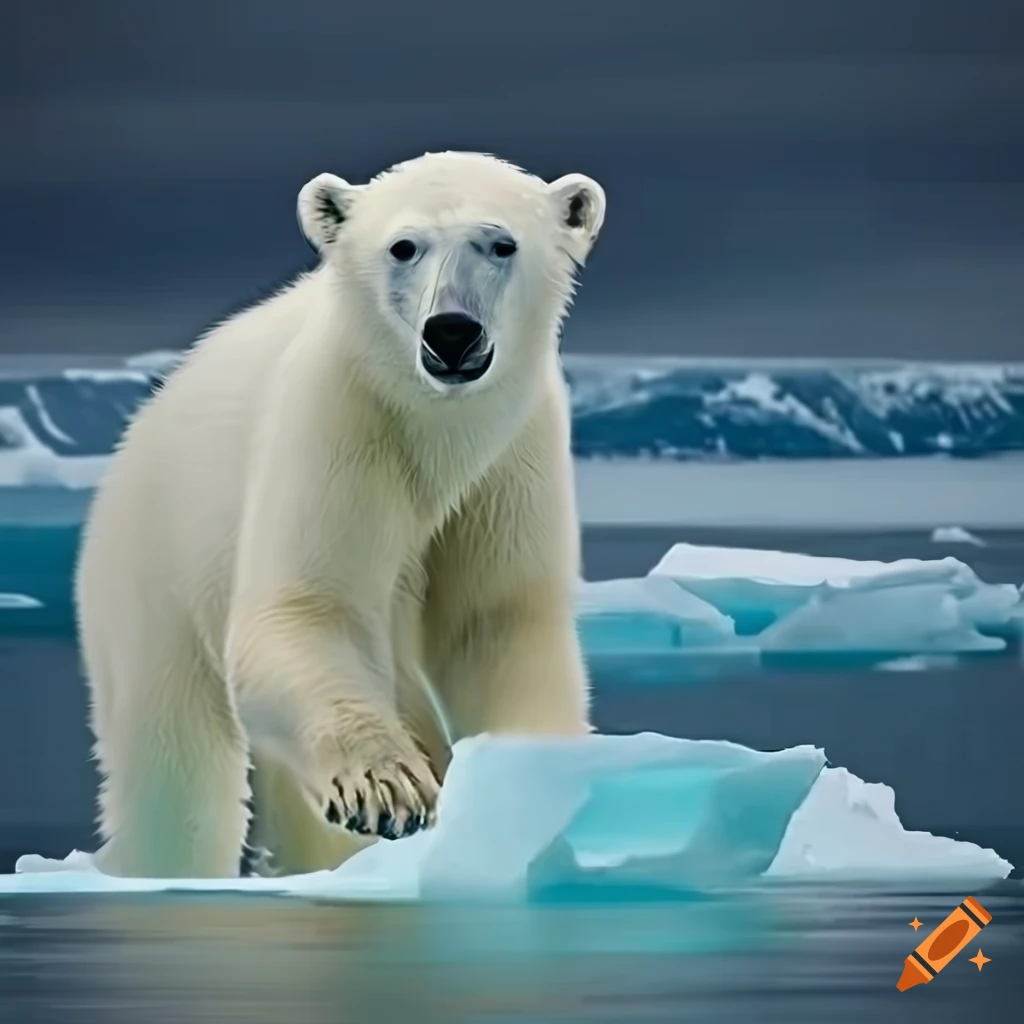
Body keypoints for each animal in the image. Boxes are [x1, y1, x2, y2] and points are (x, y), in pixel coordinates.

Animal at [74, 150, 606, 879]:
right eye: (403, 246)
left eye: (501, 244)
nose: (452, 332)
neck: (439, 432)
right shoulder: (340, 420)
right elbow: (306, 609)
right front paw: (387, 788)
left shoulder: (513, 455)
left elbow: (497, 619)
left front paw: (522, 795)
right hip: (159, 568)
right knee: (175, 769)